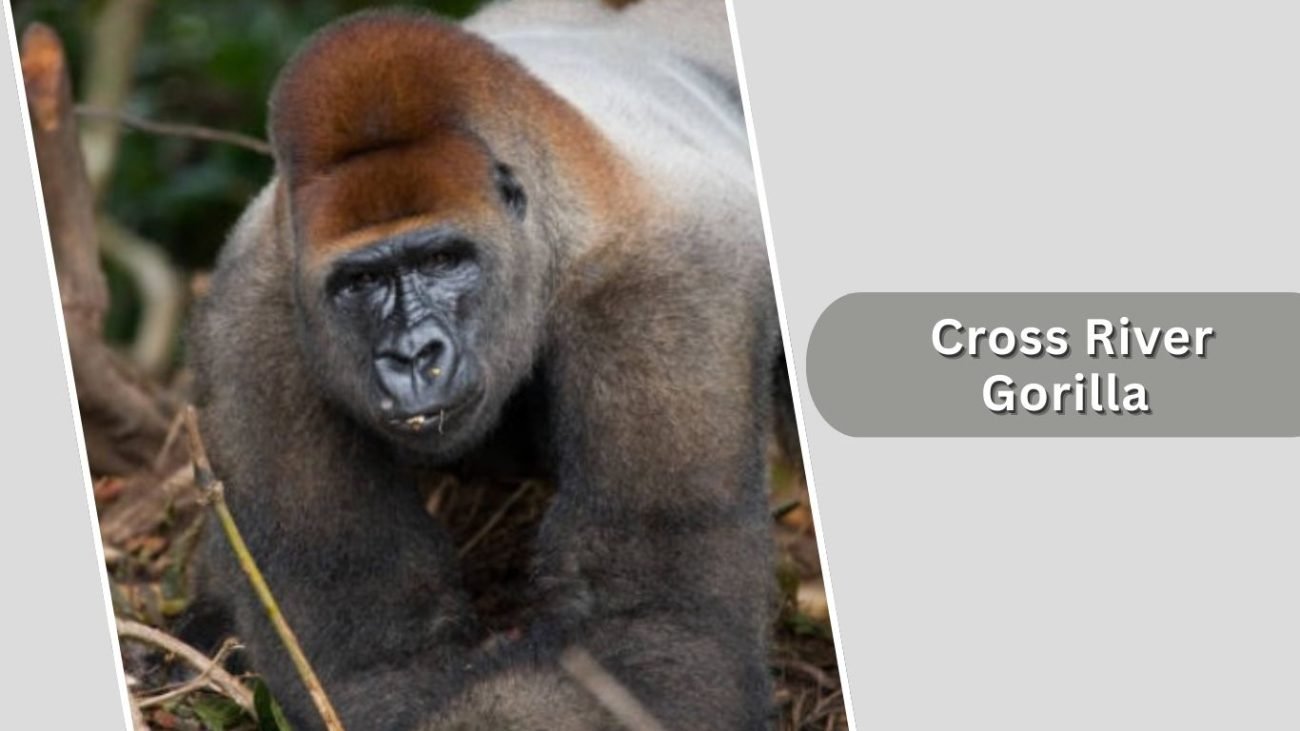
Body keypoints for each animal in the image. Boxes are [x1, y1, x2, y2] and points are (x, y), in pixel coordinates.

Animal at [187, 1, 786, 728]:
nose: (414, 356)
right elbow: (371, 655)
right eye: (361, 281)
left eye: (444, 259)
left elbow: (653, 621)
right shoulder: (252, 332)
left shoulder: (667, 291)